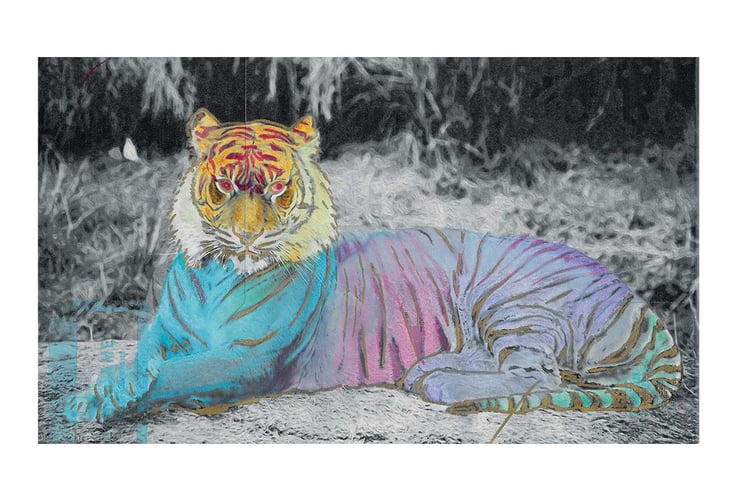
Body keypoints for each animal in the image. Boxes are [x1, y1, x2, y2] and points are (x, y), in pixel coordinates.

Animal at [65, 108, 682, 423]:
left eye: (277, 190)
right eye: (225, 185)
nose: (246, 236)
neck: (215, 271)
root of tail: (642, 303)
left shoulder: (252, 355)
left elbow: (180, 372)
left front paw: (108, 397)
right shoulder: (165, 332)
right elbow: (147, 357)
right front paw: (109, 385)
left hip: (509, 296)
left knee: (539, 375)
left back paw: (440, 384)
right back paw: (429, 368)